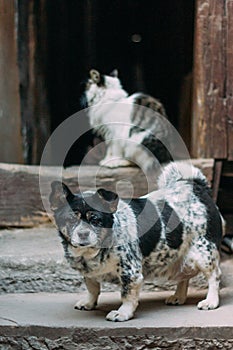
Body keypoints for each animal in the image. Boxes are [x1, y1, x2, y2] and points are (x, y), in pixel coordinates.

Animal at [50, 163, 223, 322]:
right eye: (71, 219)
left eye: (96, 220)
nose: (83, 233)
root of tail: (197, 187)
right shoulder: (89, 274)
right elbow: (92, 288)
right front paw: (89, 303)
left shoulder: (130, 272)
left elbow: (127, 294)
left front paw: (122, 313)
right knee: (184, 277)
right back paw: (178, 297)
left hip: (203, 254)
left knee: (214, 276)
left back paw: (211, 301)